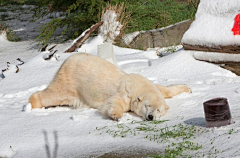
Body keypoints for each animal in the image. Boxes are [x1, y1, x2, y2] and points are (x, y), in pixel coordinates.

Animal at [29, 52, 191, 120]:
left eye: (158, 110)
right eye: (147, 106)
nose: (150, 117)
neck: (139, 86)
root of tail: (67, 60)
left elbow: (165, 89)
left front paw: (187, 88)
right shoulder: (125, 93)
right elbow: (113, 102)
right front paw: (116, 116)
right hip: (70, 82)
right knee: (54, 94)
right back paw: (33, 103)